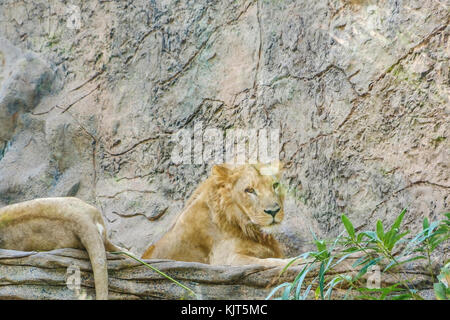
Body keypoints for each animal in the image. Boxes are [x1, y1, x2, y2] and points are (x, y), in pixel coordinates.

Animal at [142, 161, 298, 266]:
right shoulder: (224, 260)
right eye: (249, 190)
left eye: (275, 185)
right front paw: (299, 260)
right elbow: (269, 262)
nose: (273, 211)